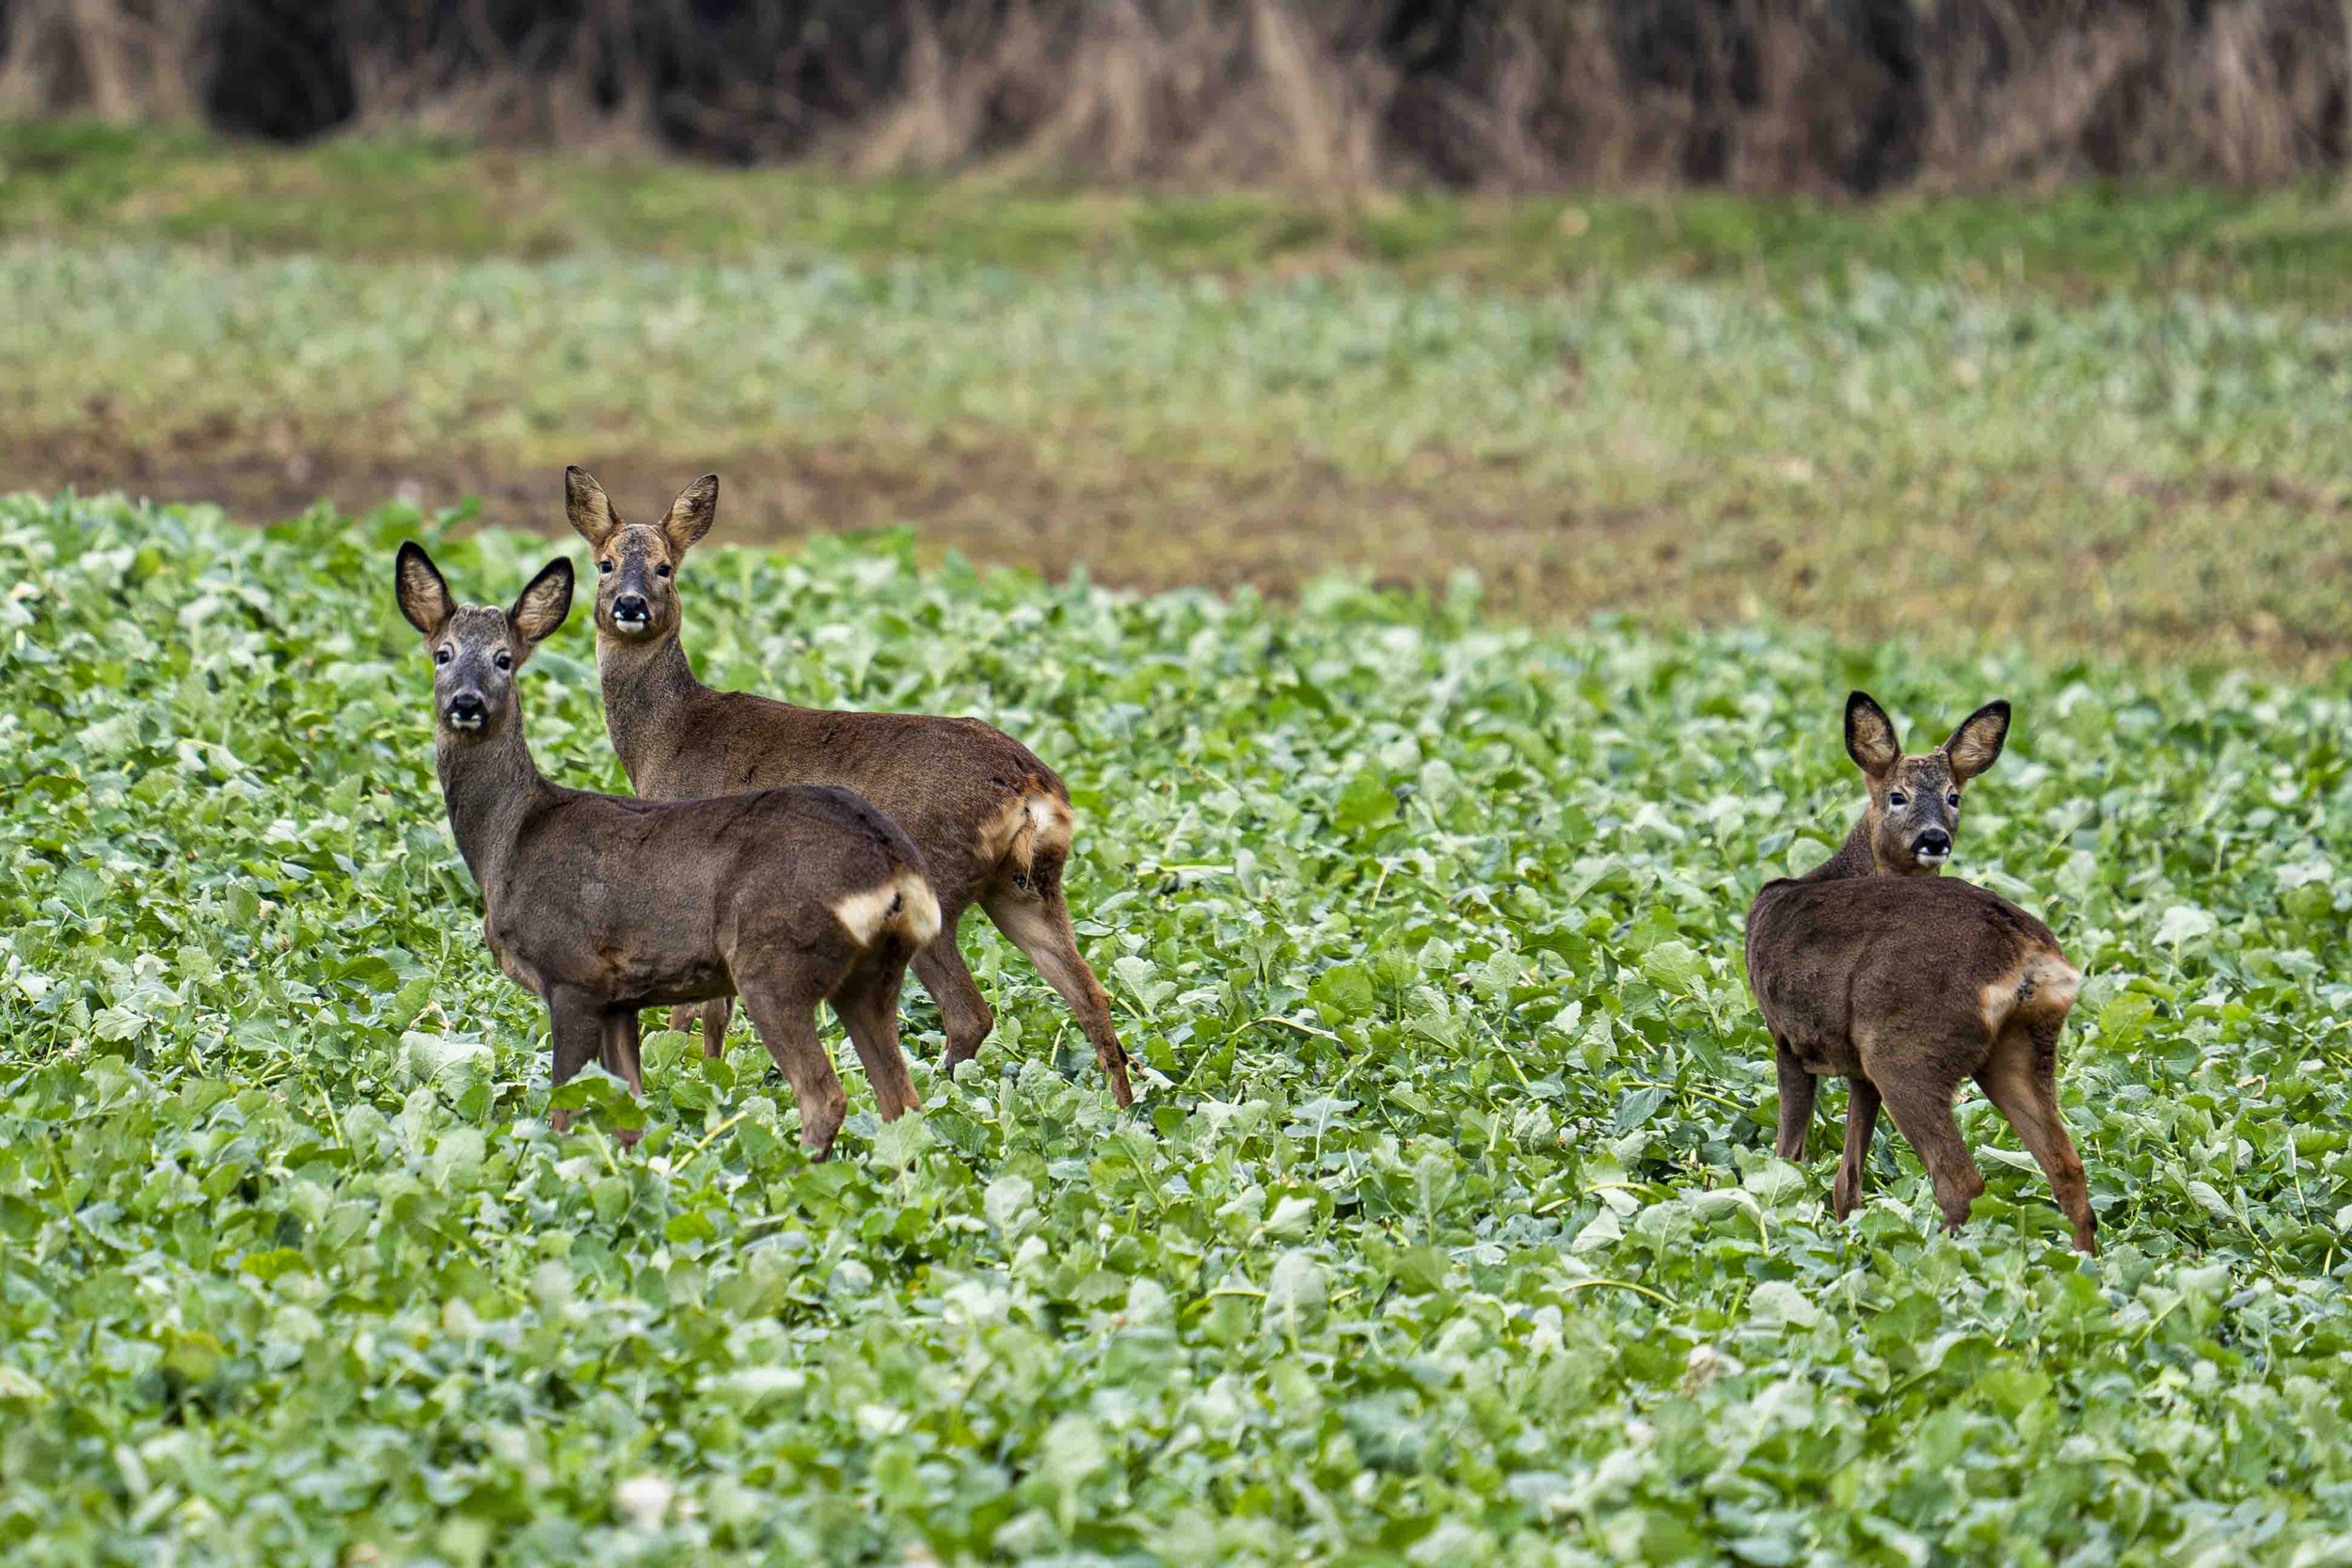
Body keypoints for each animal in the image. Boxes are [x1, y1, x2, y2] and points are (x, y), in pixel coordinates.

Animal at [393, 542, 940, 1158]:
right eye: (442, 654)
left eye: (504, 659)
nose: (467, 702)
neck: (507, 841)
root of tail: (896, 868)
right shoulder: (618, 997)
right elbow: (630, 1111)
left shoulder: (572, 973)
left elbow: (564, 1110)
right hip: (870, 978)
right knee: (903, 1101)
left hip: (775, 961)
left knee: (826, 1095)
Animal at [561, 467, 1135, 1107]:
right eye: (606, 563)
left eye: (665, 567)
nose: (630, 604)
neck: (668, 737)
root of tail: (1033, 789)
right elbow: (716, 1011)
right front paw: (711, 1080)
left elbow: (692, 1011)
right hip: (1027, 886)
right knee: (1091, 996)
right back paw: (1121, 1111)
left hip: (934, 884)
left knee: (971, 1013)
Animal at [1744, 692, 2097, 1253]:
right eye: (1898, 796)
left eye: (1954, 797)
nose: (1934, 839)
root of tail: (2028, 952)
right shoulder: (1856, 1066)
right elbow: (1848, 1179)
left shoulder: (1787, 1037)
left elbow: (1790, 1154)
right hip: (2020, 1048)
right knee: (2068, 1168)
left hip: (1908, 1048)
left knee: (1962, 1181)